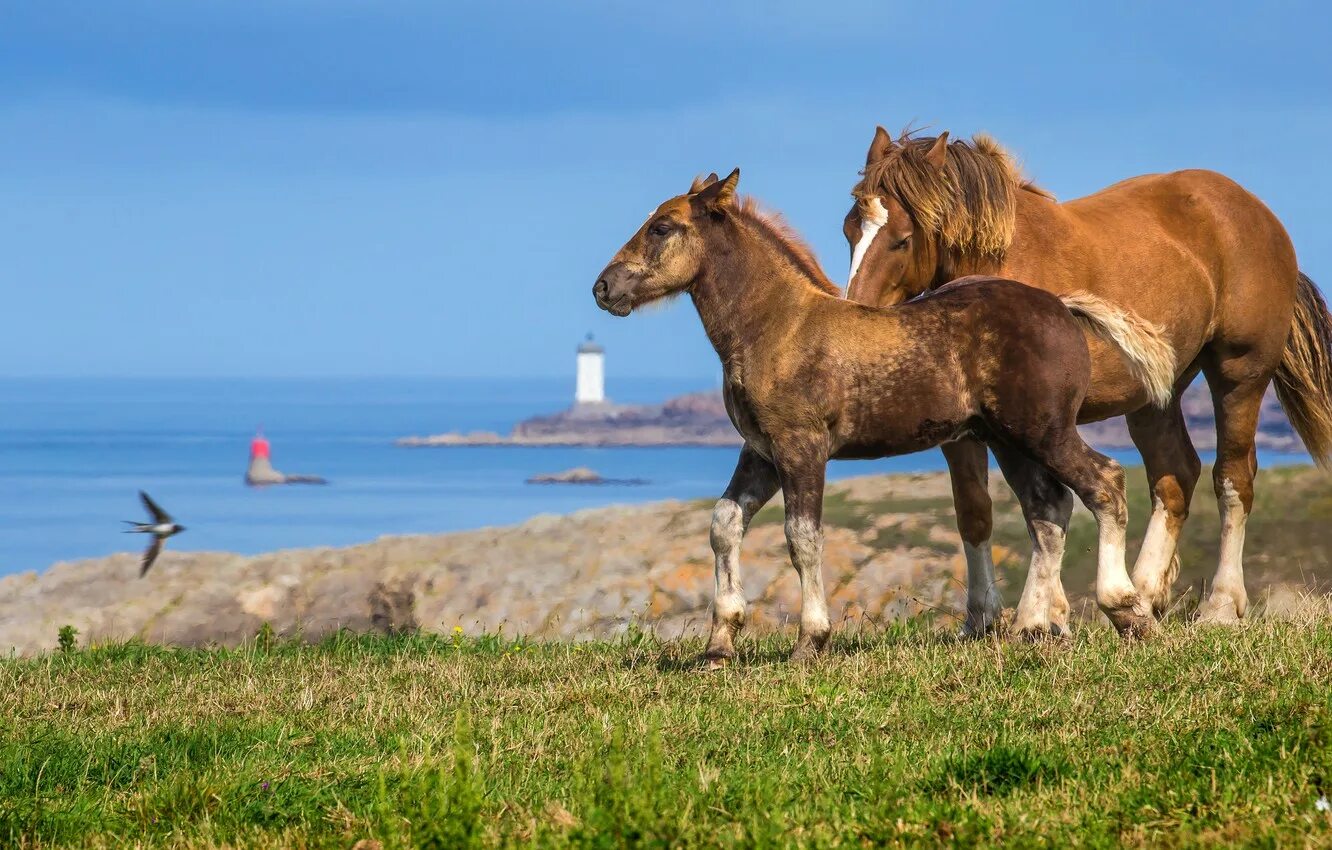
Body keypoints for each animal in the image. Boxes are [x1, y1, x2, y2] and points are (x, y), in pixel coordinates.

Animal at [594, 169, 1177, 663]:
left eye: (662, 227)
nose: (603, 288)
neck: (778, 326)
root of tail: (1062, 308)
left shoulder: (802, 447)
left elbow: (802, 538)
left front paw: (810, 642)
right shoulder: (760, 451)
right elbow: (724, 523)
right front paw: (719, 644)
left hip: (1045, 430)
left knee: (1104, 483)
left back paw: (1127, 612)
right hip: (1010, 439)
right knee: (1047, 510)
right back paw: (1029, 627)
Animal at [841, 125, 1332, 634]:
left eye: (901, 239)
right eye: (849, 229)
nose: (857, 314)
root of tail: (1258, 214)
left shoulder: (1028, 429)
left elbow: (1044, 507)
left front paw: (1043, 615)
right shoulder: (965, 433)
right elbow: (976, 512)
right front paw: (984, 619)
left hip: (1240, 374)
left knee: (1232, 479)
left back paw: (1218, 606)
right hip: (1155, 397)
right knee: (1175, 475)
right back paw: (1145, 593)